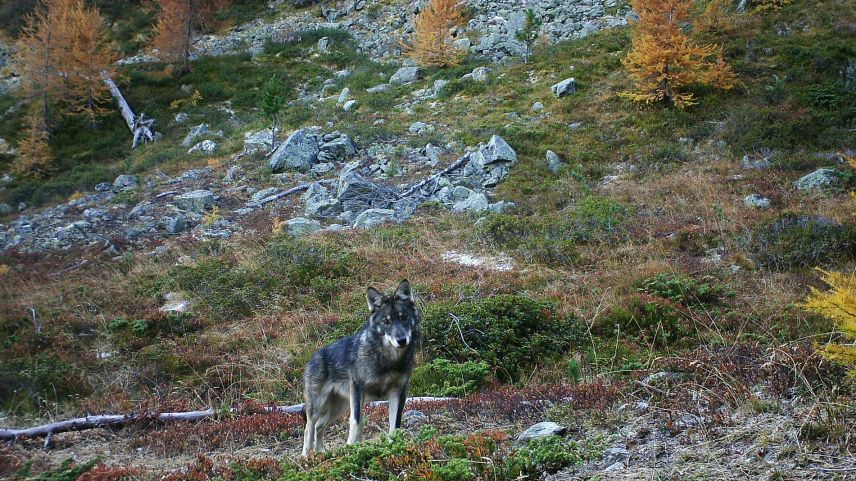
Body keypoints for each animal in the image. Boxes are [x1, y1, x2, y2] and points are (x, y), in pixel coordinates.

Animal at [302, 280, 420, 456]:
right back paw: (306, 456)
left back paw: (321, 453)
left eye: (404, 317)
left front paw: (394, 448)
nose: (401, 340)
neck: (388, 359)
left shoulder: (398, 392)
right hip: (318, 406)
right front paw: (352, 448)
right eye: (386, 321)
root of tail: (313, 357)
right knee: (309, 428)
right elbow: (357, 422)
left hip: (338, 408)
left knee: (319, 426)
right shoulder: (358, 390)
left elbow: (395, 426)